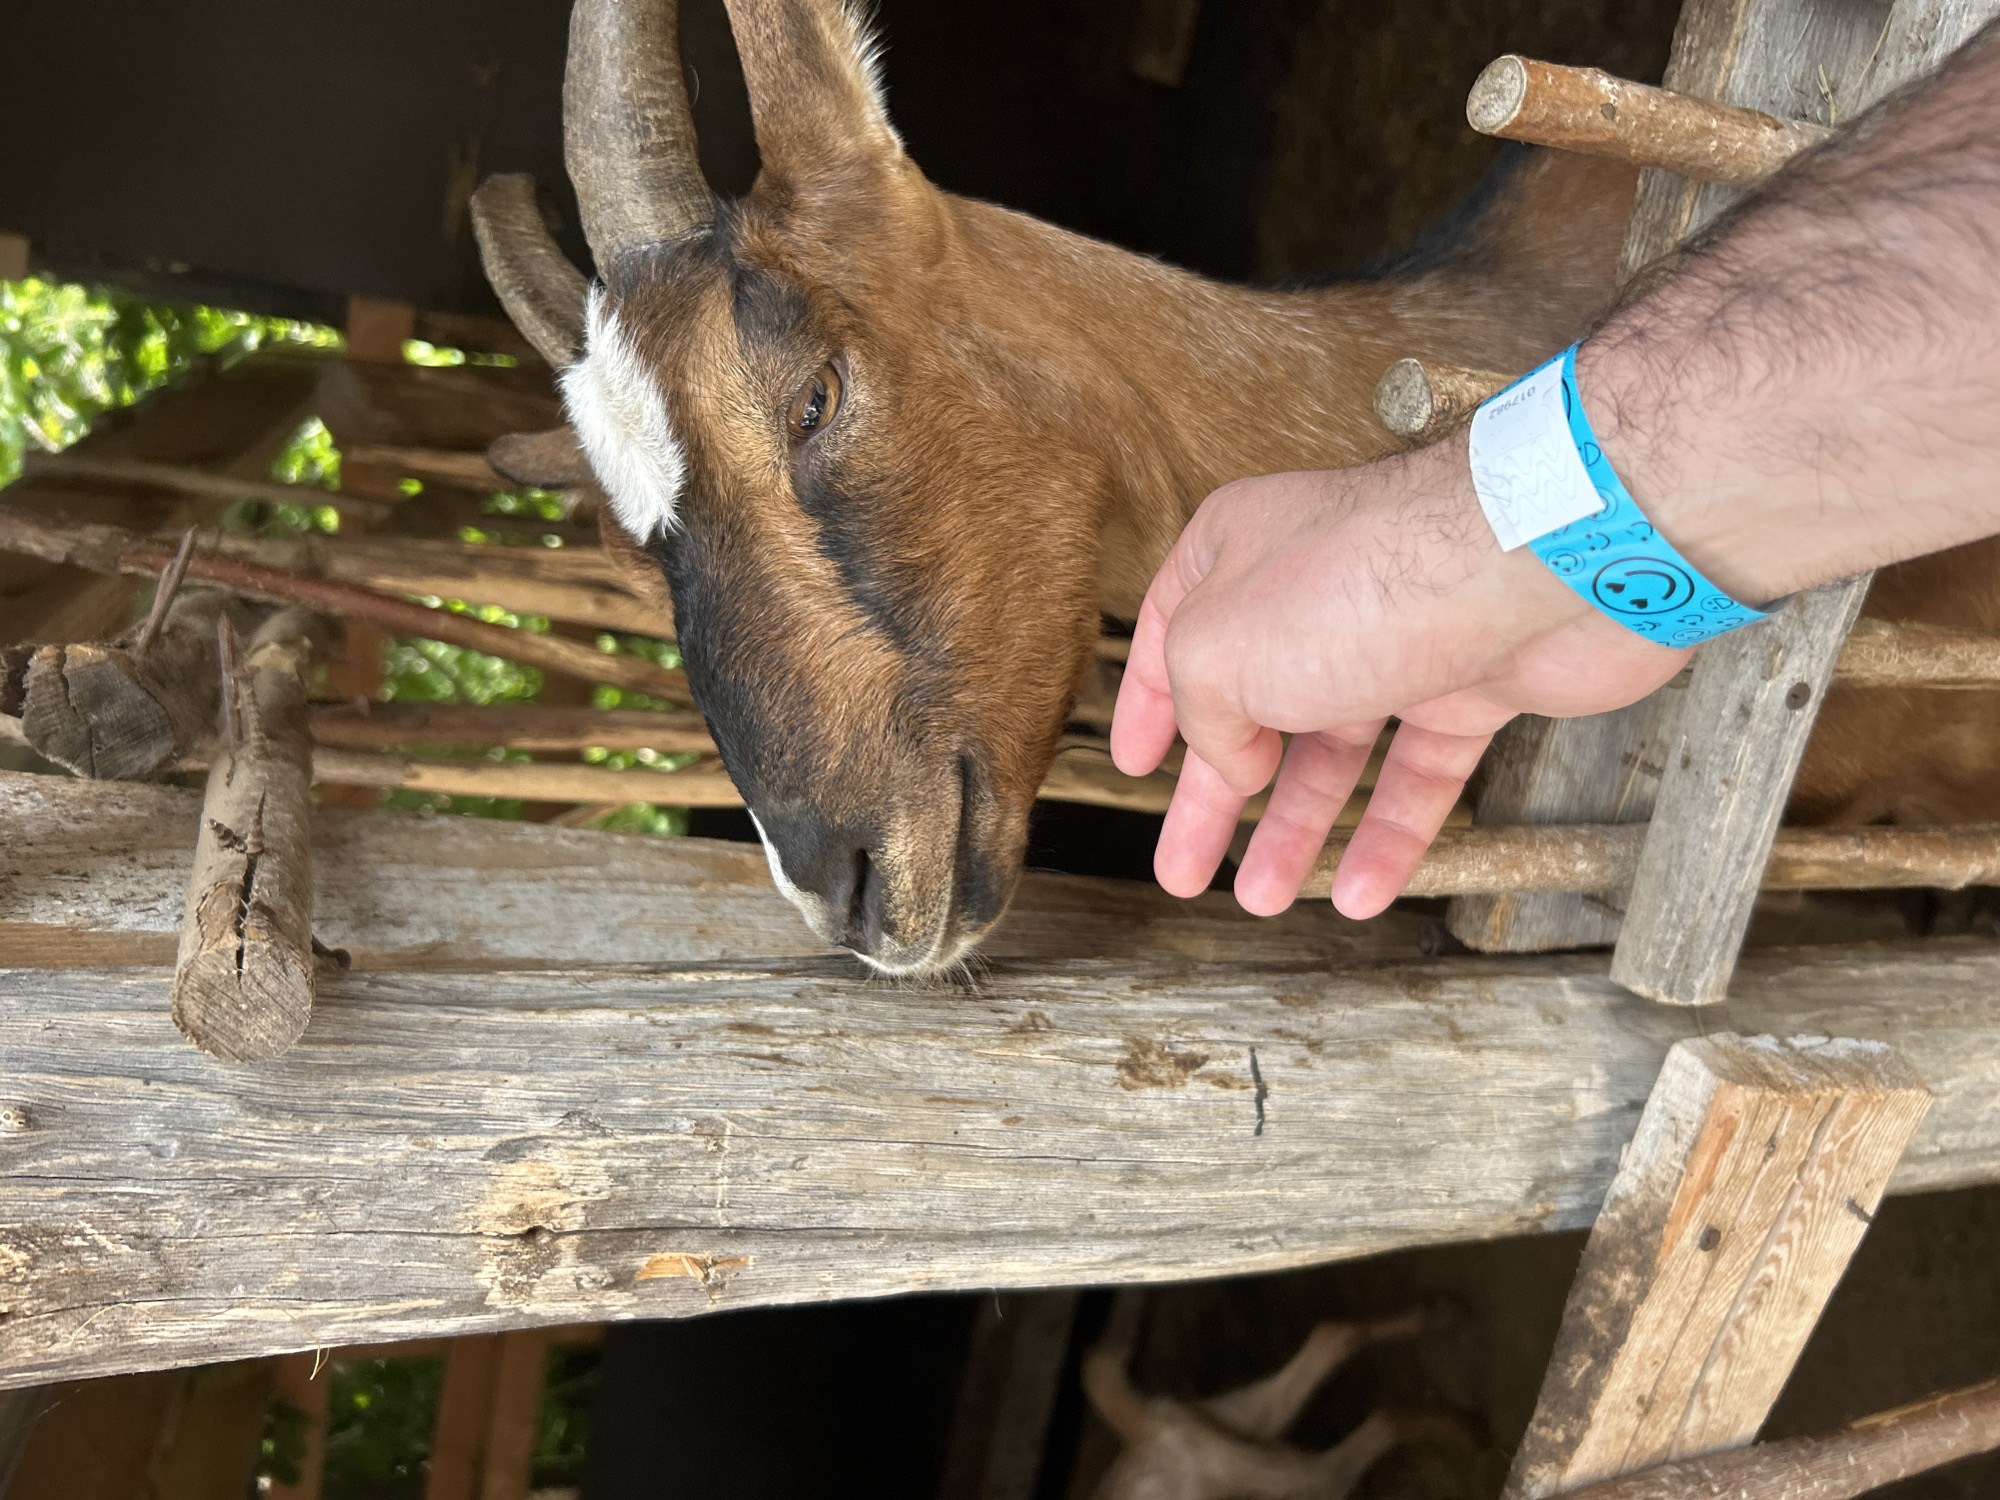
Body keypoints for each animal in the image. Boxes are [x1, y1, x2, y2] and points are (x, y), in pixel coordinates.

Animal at [1082, 1308, 1474, 1500]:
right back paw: (1439, 1314)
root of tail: (1141, 1432)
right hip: (1246, 1419)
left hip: (1278, 1476)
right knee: (1333, 1337)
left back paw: (1467, 1431)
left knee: (1378, 1425)